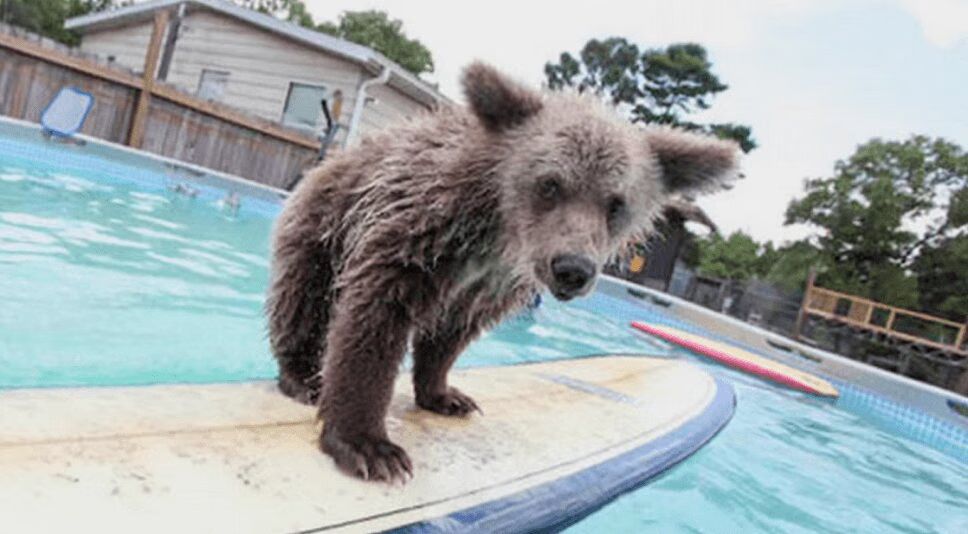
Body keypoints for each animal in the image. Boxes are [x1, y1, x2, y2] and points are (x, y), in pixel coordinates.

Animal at [266, 62, 740, 483]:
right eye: (550, 184)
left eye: (616, 202)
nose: (572, 269)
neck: (497, 232)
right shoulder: (417, 236)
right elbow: (374, 323)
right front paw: (369, 446)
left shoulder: (486, 283)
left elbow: (450, 336)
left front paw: (444, 394)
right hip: (323, 229)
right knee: (303, 300)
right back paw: (302, 376)